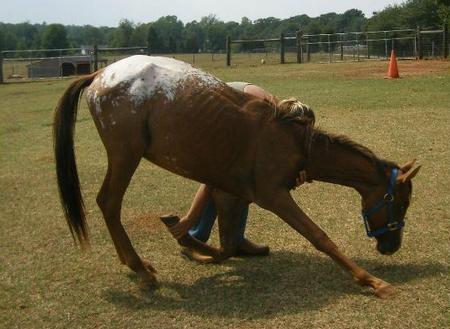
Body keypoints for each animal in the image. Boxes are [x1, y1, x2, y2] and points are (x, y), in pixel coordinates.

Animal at [53, 54, 422, 298]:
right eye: (400, 204)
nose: (391, 247)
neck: (290, 139)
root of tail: (100, 74)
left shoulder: (230, 193)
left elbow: (227, 246)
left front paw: (191, 242)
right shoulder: (274, 196)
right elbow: (319, 236)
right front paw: (371, 281)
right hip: (125, 156)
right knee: (108, 203)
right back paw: (140, 269)